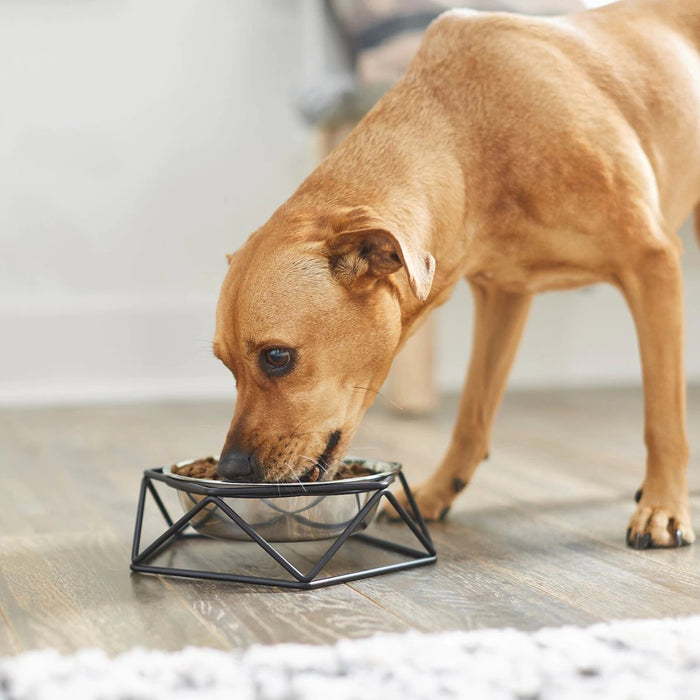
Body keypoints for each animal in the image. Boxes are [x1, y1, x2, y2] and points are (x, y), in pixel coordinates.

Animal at [215, 0, 700, 548]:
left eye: (277, 358)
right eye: (226, 366)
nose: (230, 471)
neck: (472, 144)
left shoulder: (652, 264)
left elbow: (663, 418)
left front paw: (663, 507)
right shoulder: (503, 296)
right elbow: (472, 415)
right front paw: (436, 492)